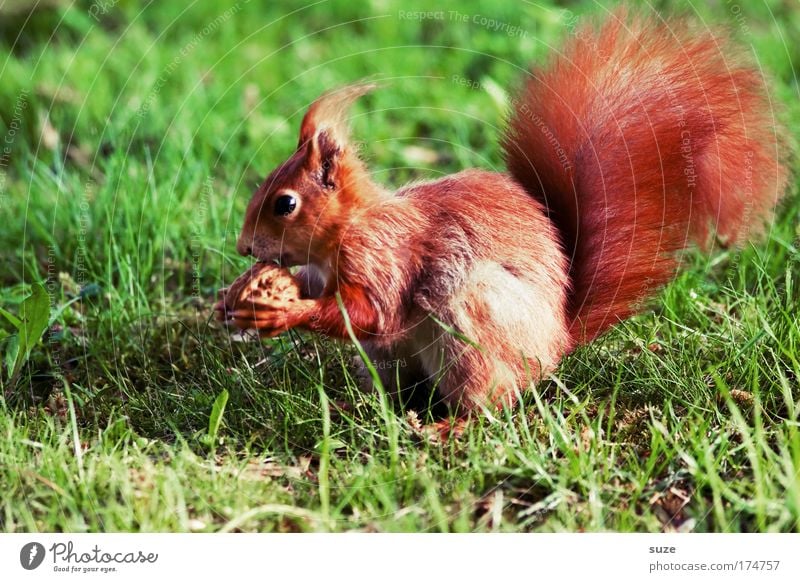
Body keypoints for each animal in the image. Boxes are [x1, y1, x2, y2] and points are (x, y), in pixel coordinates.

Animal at [216, 13, 792, 416]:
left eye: (285, 203)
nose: (244, 247)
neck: (349, 227)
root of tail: (558, 339)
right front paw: (240, 293)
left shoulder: (383, 254)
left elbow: (370, 314)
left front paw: (284, 312)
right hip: (395, 358)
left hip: (472, 320)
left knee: (489, 400)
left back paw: (448, 427)